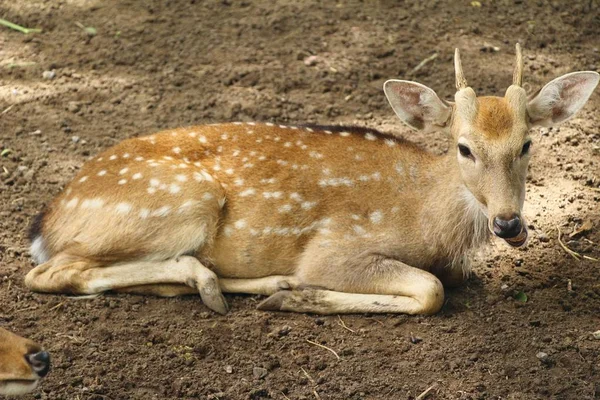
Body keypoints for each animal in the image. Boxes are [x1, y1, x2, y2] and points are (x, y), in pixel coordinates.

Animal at [22, 45, 596, 316]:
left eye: (527, 144)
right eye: (464, 147)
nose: (508, 224)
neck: (429, 220)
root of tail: (46, 221)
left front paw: (291, 292)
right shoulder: (336, 246)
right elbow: (431, 290)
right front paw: (305, 296)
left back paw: (257, 284)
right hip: (180, 202)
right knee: (50, 273)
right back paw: (227, 284)